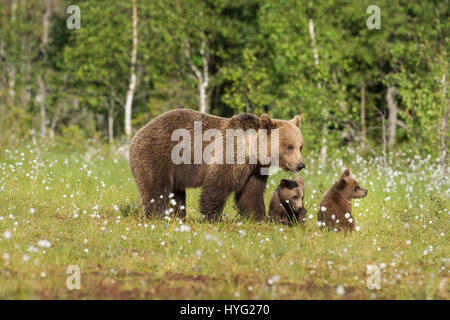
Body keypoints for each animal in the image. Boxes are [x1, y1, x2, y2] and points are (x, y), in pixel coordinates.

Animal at [130, 109, 306, 221]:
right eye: (289, 146)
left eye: (300, 146)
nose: (300, 165)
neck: (251, 151)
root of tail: (138, 133)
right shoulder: (228, 156)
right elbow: (217, 187)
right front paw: (212, 217)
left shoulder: (253, 171)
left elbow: (250, 194)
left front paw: (257, 218)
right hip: (158, 156)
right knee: (156, 189)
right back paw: (158, 216)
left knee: (176, 194)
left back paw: (176, 216)